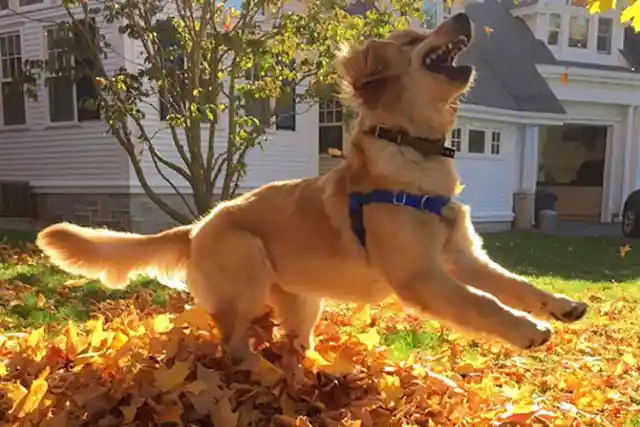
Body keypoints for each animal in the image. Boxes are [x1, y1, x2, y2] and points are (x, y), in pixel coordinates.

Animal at [35, 14, 584, 368]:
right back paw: (260, 375)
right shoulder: (421, 276)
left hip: (303, 302)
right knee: (234, 347)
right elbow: (483, 303)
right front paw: (527, 330)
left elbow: (514, 284)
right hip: (247, 268)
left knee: (289, 346)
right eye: (412, 39)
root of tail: (195, 227)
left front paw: (558, 304)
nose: (465, 15)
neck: (413, 155)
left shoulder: (463, 257)